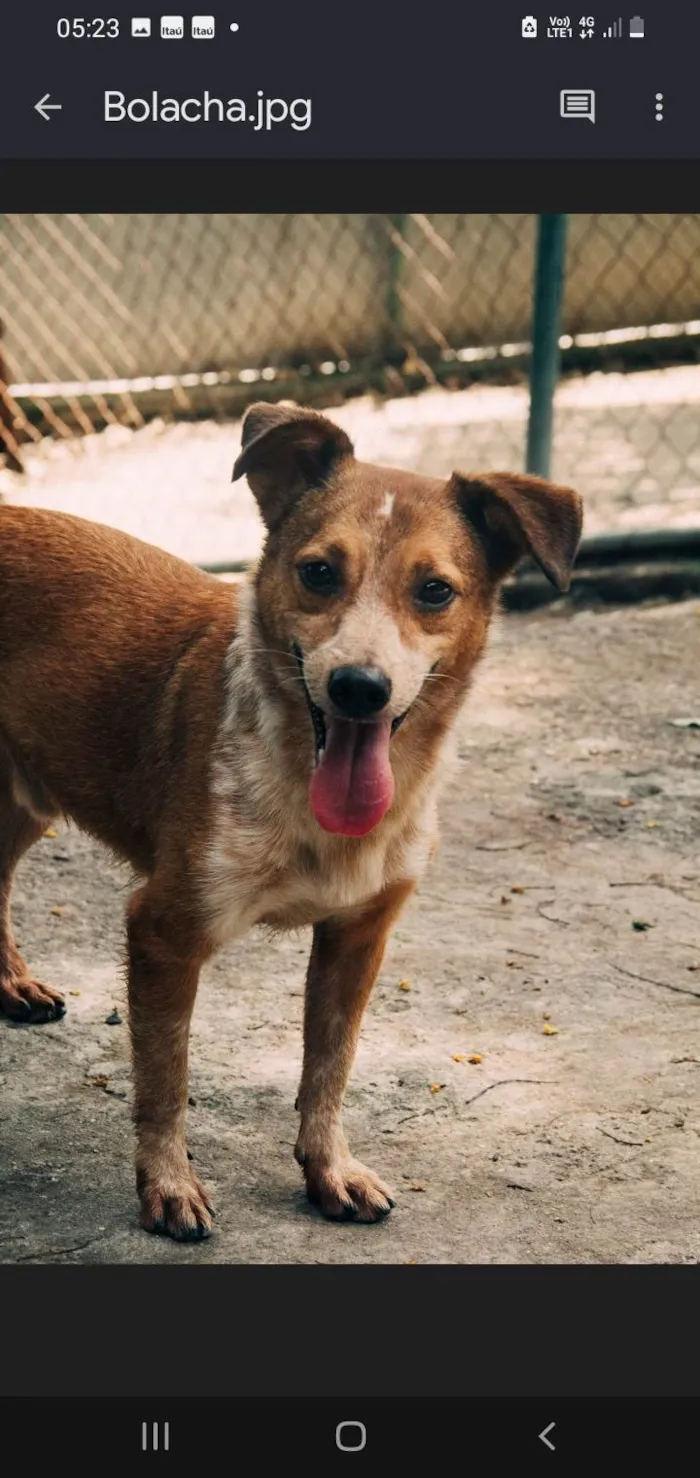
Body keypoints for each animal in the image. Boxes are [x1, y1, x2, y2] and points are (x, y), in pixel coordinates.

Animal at [0, 402, 581, 1235]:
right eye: (318, 573)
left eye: (435, 590)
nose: (360, 688)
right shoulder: (164, 929)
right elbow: (166, 1080)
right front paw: (168, 1186)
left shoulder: (359, 935)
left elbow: (330, 1067)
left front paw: (329, 1170)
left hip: (27, 797)